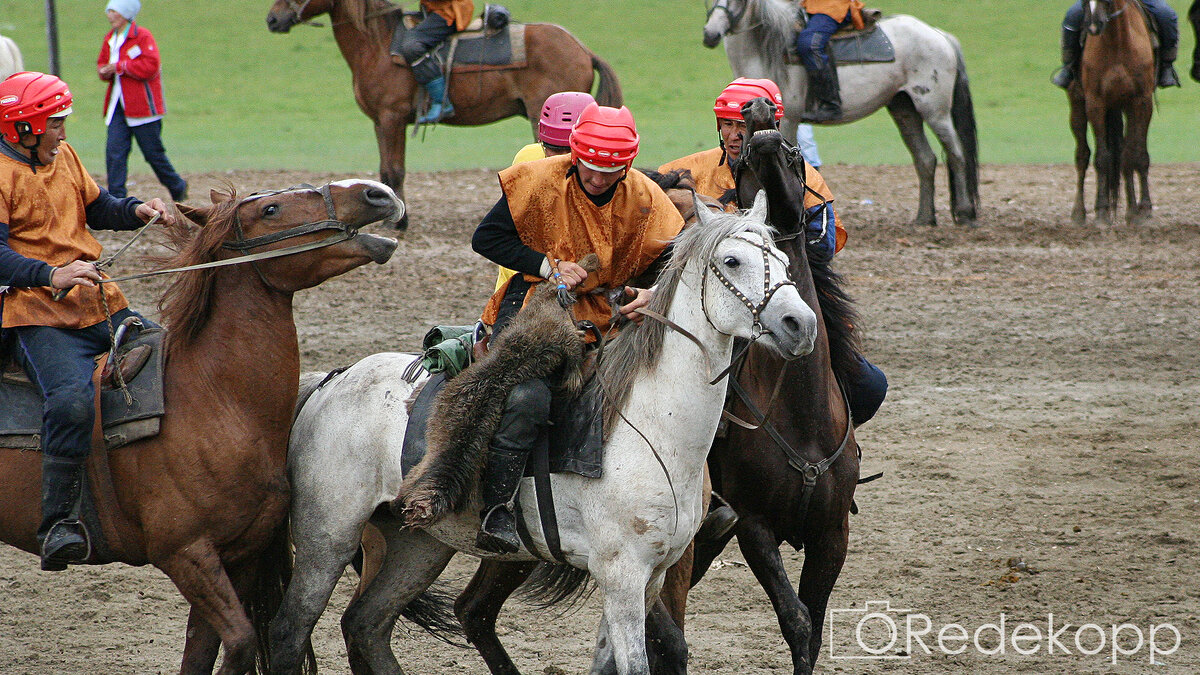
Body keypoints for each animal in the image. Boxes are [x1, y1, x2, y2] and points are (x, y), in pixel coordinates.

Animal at [0, 180, 403, 672]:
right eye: (270, 209)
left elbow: (204, 650)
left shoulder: (238, 556)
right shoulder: (186, 555)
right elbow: (242, 641)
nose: (376, 192)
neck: (216, 402)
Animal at [267, 0, 624, 228]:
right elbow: (385, 170)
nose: (273, 19)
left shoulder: (392, 117)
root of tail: (582, 49)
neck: (379, 44)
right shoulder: (381, 121)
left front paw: (399, 221)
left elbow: (394, 170)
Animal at [270, 192, 816, 667]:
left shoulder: (650, 578)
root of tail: (331, 380)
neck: (653, 429)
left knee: (366, 625)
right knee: (290, 630)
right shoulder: (622, 575)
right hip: (327, 540)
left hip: (418, 543)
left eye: (783, 261)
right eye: (732, 261)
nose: (800, 325)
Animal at [700, 0, 974, 225]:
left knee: (956, 154)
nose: (711, 34)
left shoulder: (788, 120)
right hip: (904, 109)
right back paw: (924, 218)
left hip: (934, 111)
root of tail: (939, 35)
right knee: (925, 159)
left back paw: (965, 214)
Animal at [1065, 0, 1156, 225]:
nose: (1093, 26)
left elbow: (1135, 156)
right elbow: (1102, 157)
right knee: (1082, 155)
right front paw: (1102, 211)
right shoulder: (1096, 103)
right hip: (1078, 105)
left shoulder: (1140, 102)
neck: (1117, 42)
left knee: (1125, 152)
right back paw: (1079, 212)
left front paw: (1140, 210)